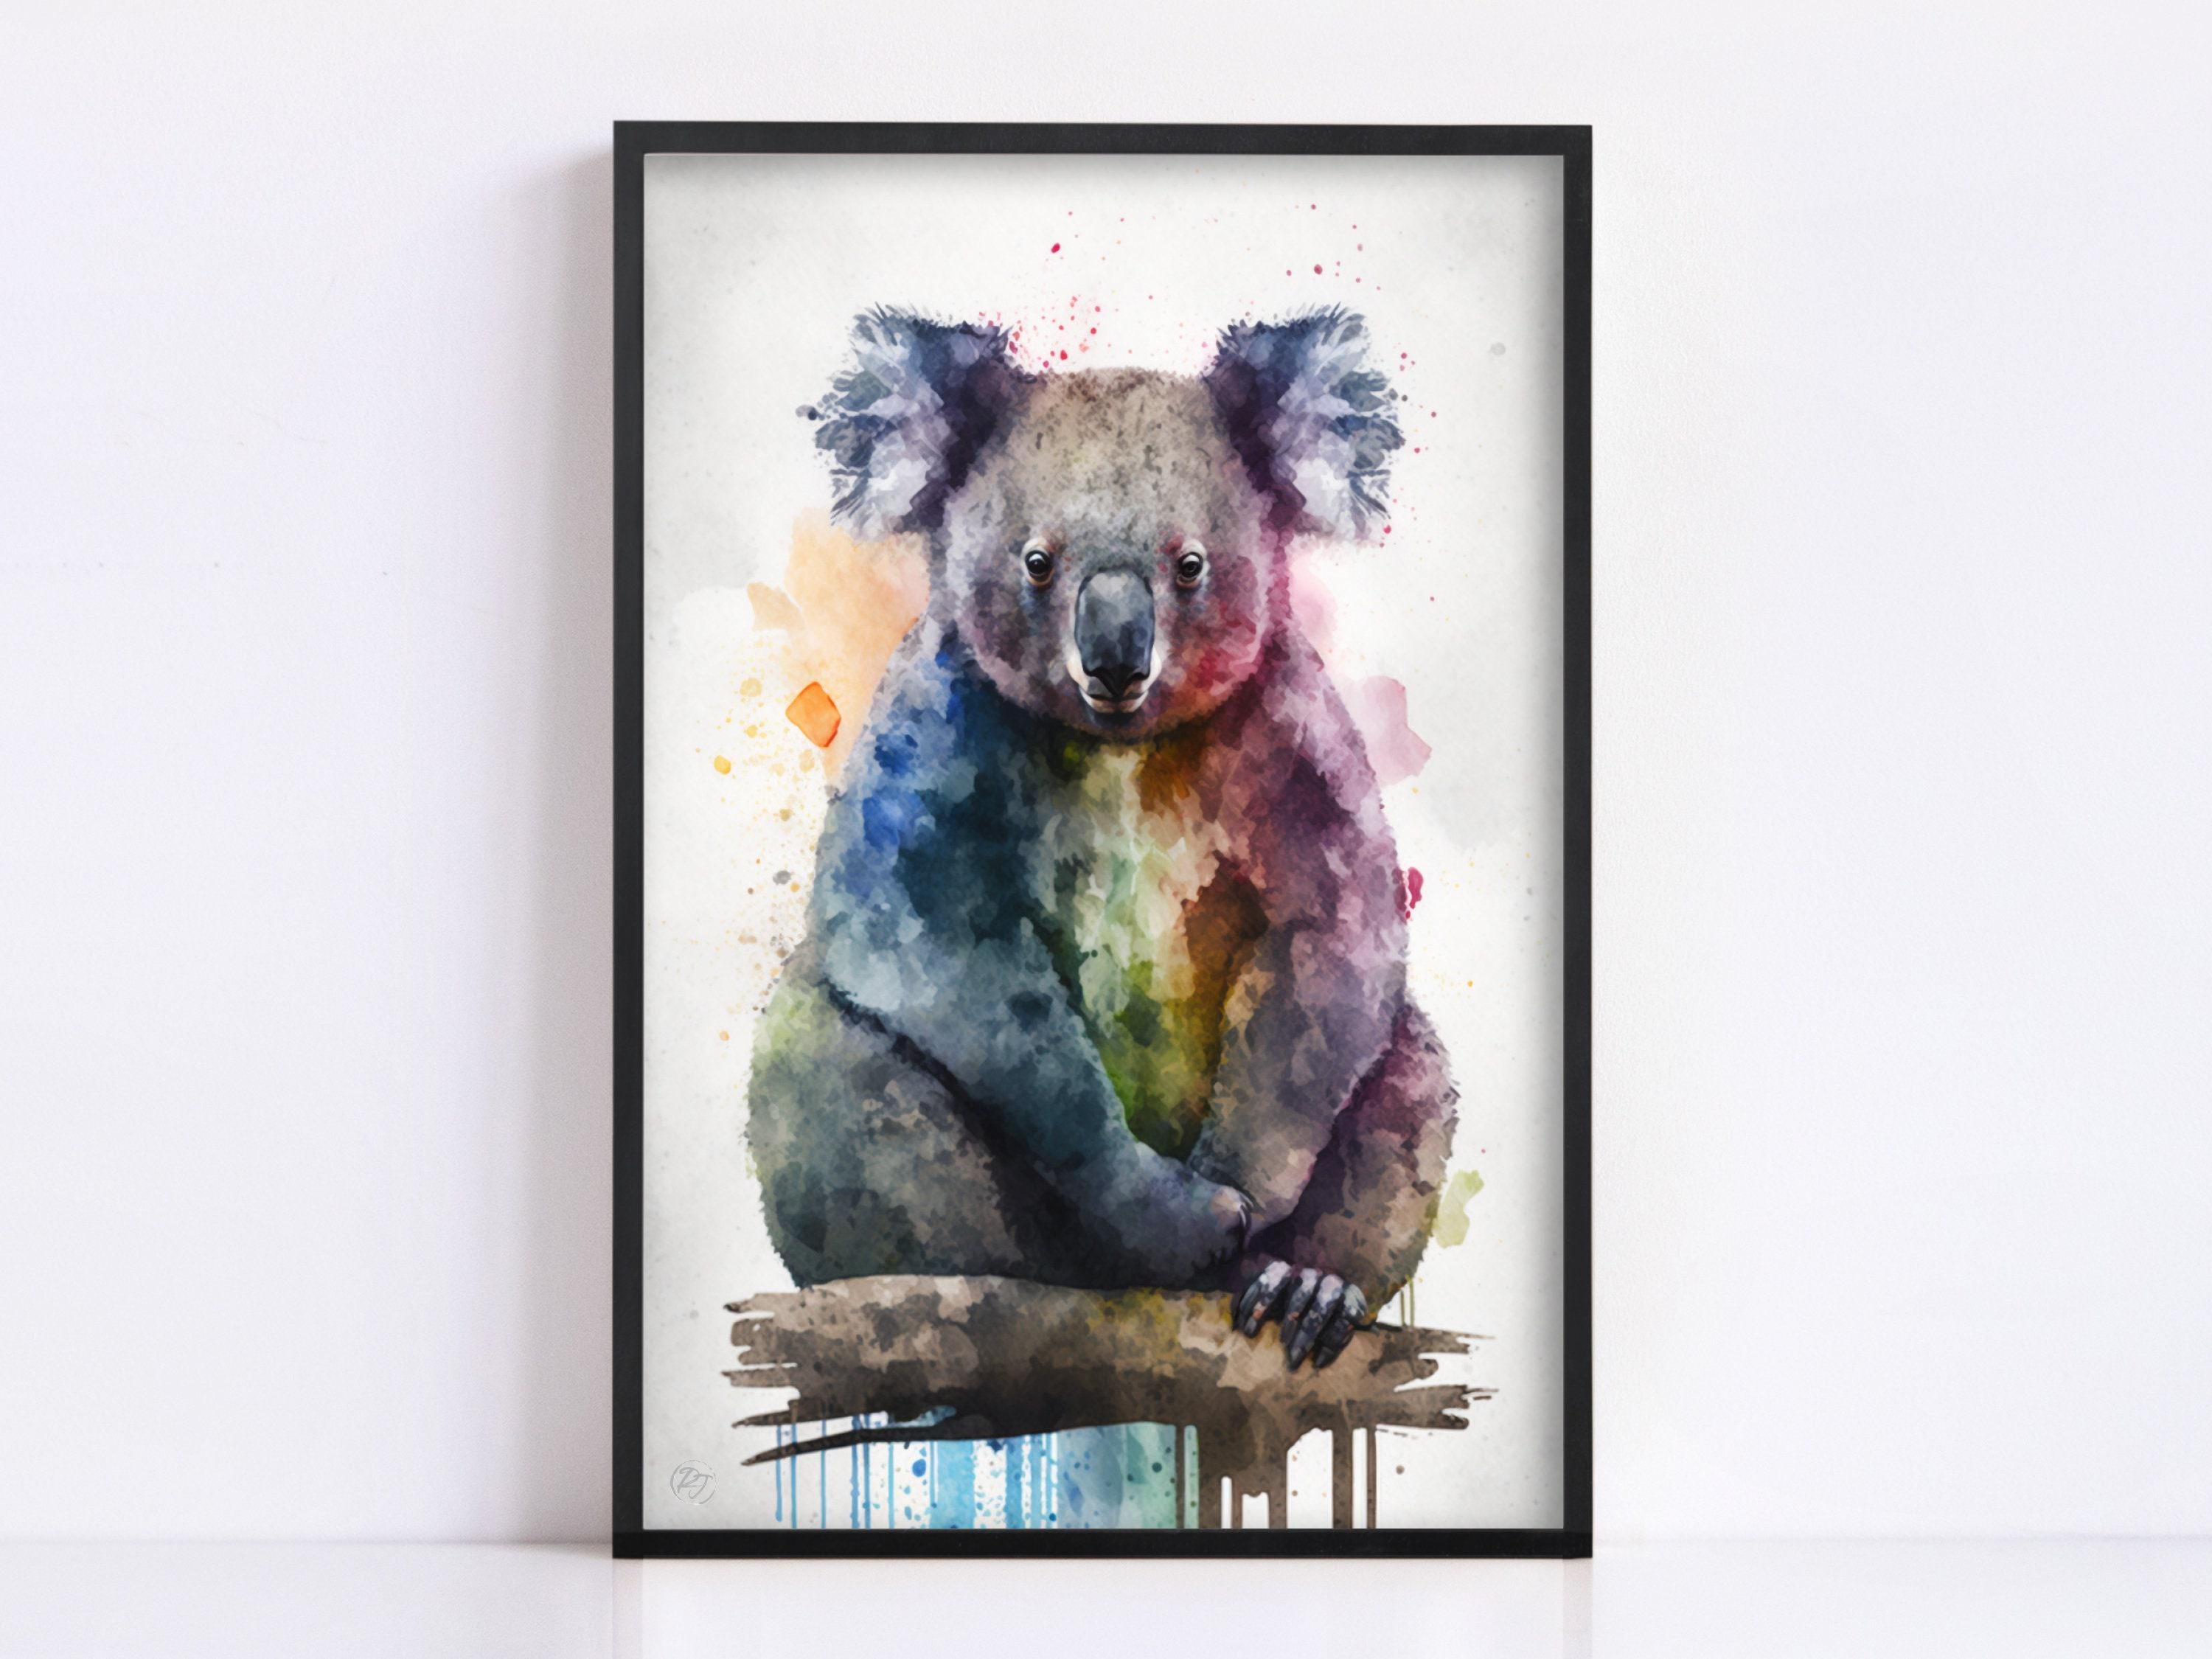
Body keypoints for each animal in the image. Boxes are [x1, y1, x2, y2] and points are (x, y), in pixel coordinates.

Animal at [746, 306, 1458, 1371]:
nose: (1116, 659)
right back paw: (971, 1292)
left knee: (1408, 1078)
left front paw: (1241, 1208)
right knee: (829, 1063)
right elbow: (936, 946)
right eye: (1037, 561)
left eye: (1190, 564)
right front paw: (1184, 1216)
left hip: (1403, 1094)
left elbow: (1331, 944)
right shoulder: (933, 732)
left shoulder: (1298, 736)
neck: (1125, 748)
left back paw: (1309, 1288)